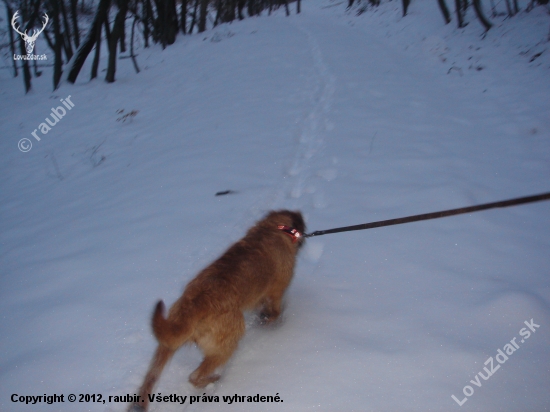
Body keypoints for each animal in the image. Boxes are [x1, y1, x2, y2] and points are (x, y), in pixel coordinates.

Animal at [130, 211, 306, 410]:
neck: (273, 228)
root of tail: (193, 305)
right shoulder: (276, 290)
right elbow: (274, 311)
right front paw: (273, 321)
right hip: (227, 342)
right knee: (195, 375)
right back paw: (214, 380)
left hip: (166, 344)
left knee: (151, 378)